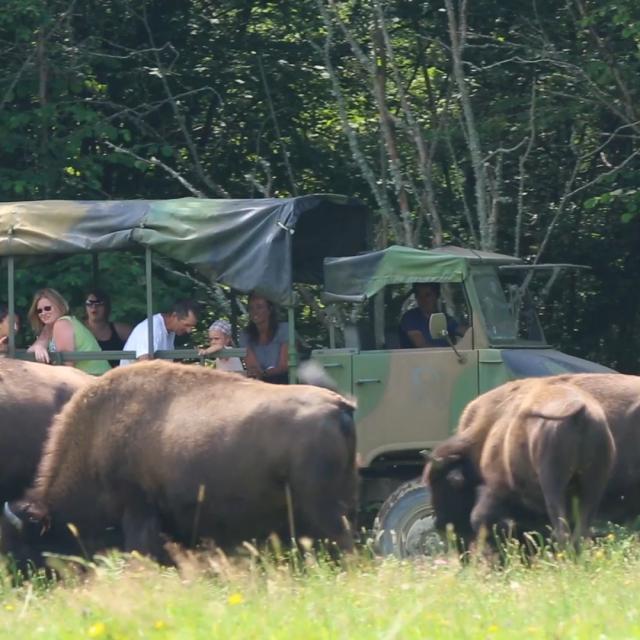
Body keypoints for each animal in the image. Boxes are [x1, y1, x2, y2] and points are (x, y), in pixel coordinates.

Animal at [424, 372, 640, 548]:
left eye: (442, 483)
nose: (439, 524)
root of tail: (580, 413)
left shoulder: (496, 487)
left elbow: (482, 518)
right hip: (592, 486)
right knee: (579, 533)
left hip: (553, 485)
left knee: (561, 531)